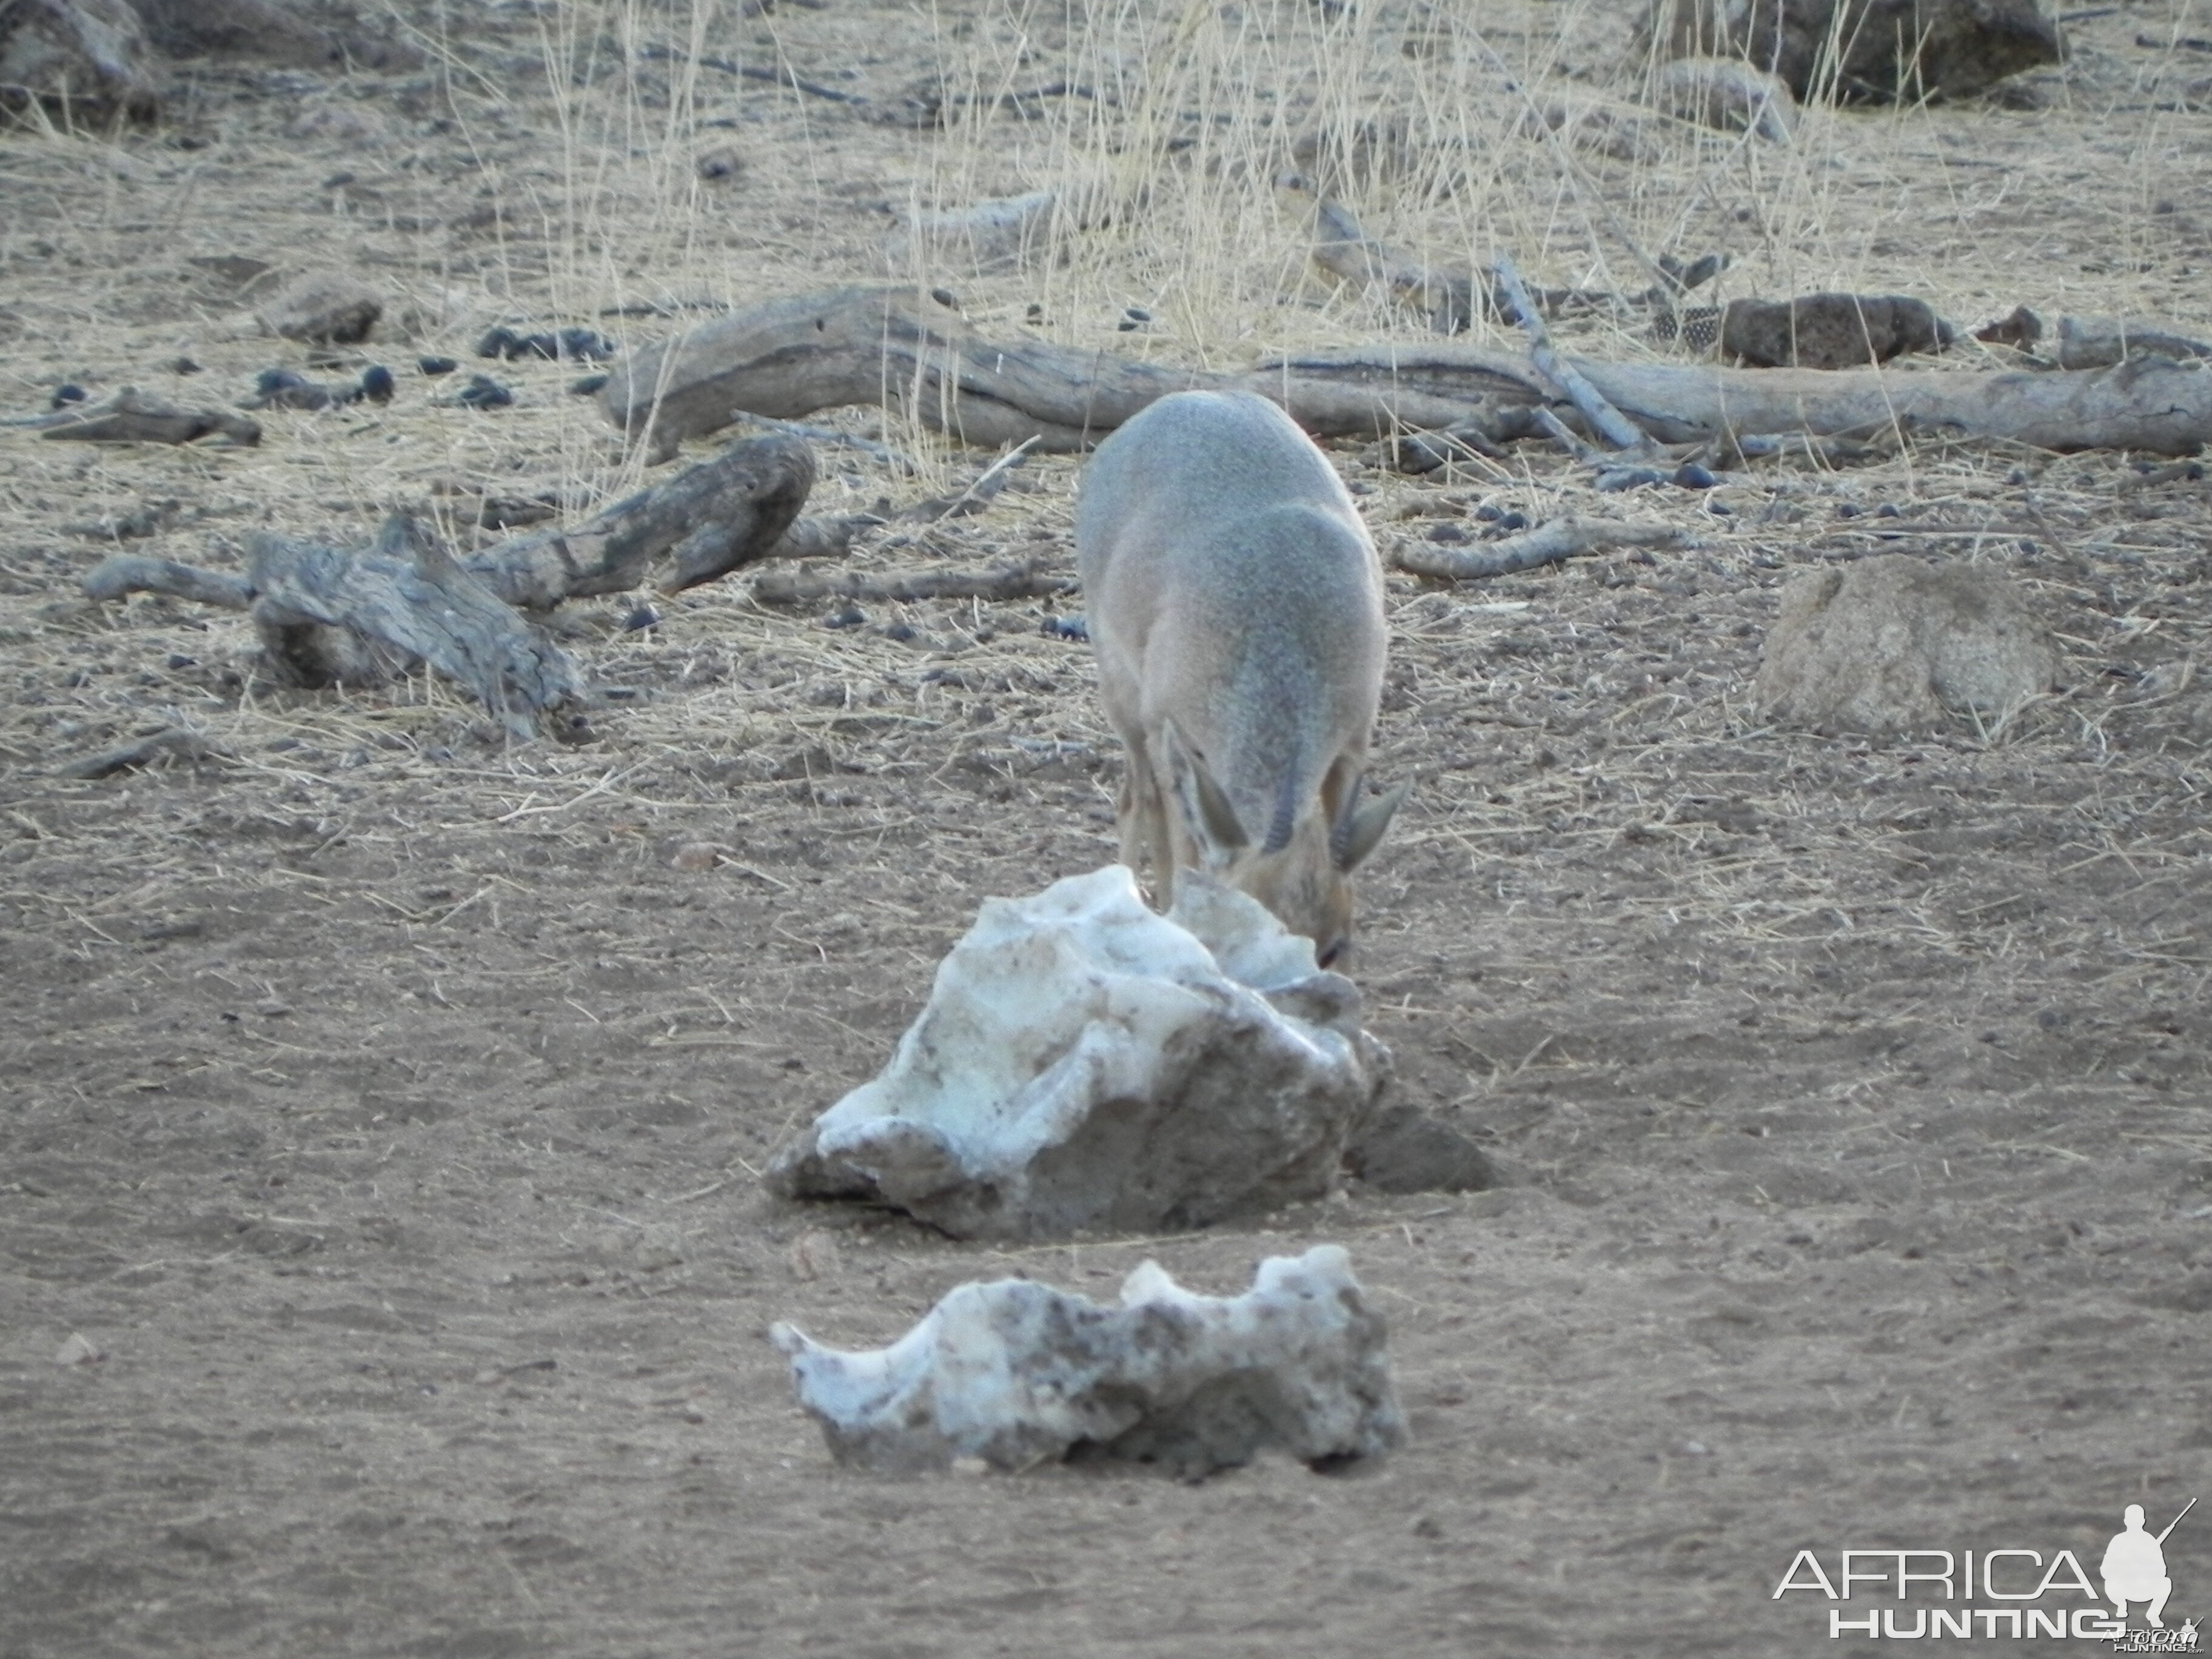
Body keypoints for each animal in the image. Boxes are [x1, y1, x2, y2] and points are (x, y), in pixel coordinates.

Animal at [1074, 391, 1407, 968]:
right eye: (1247, 925)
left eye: (1333, 947)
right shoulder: (1171, 733)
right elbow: (1185, 849)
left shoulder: (1353, 741)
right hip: (1125, 702)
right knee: (1138, 799)